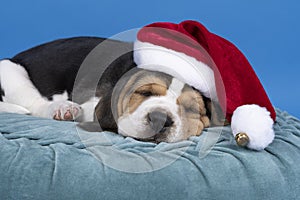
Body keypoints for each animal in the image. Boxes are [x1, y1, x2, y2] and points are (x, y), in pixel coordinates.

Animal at [0, 36, 223, 143]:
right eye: (144, 93)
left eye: (191, 109)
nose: (160, 119)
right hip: (10, 70)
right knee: (35, 105)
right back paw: (62, 108)